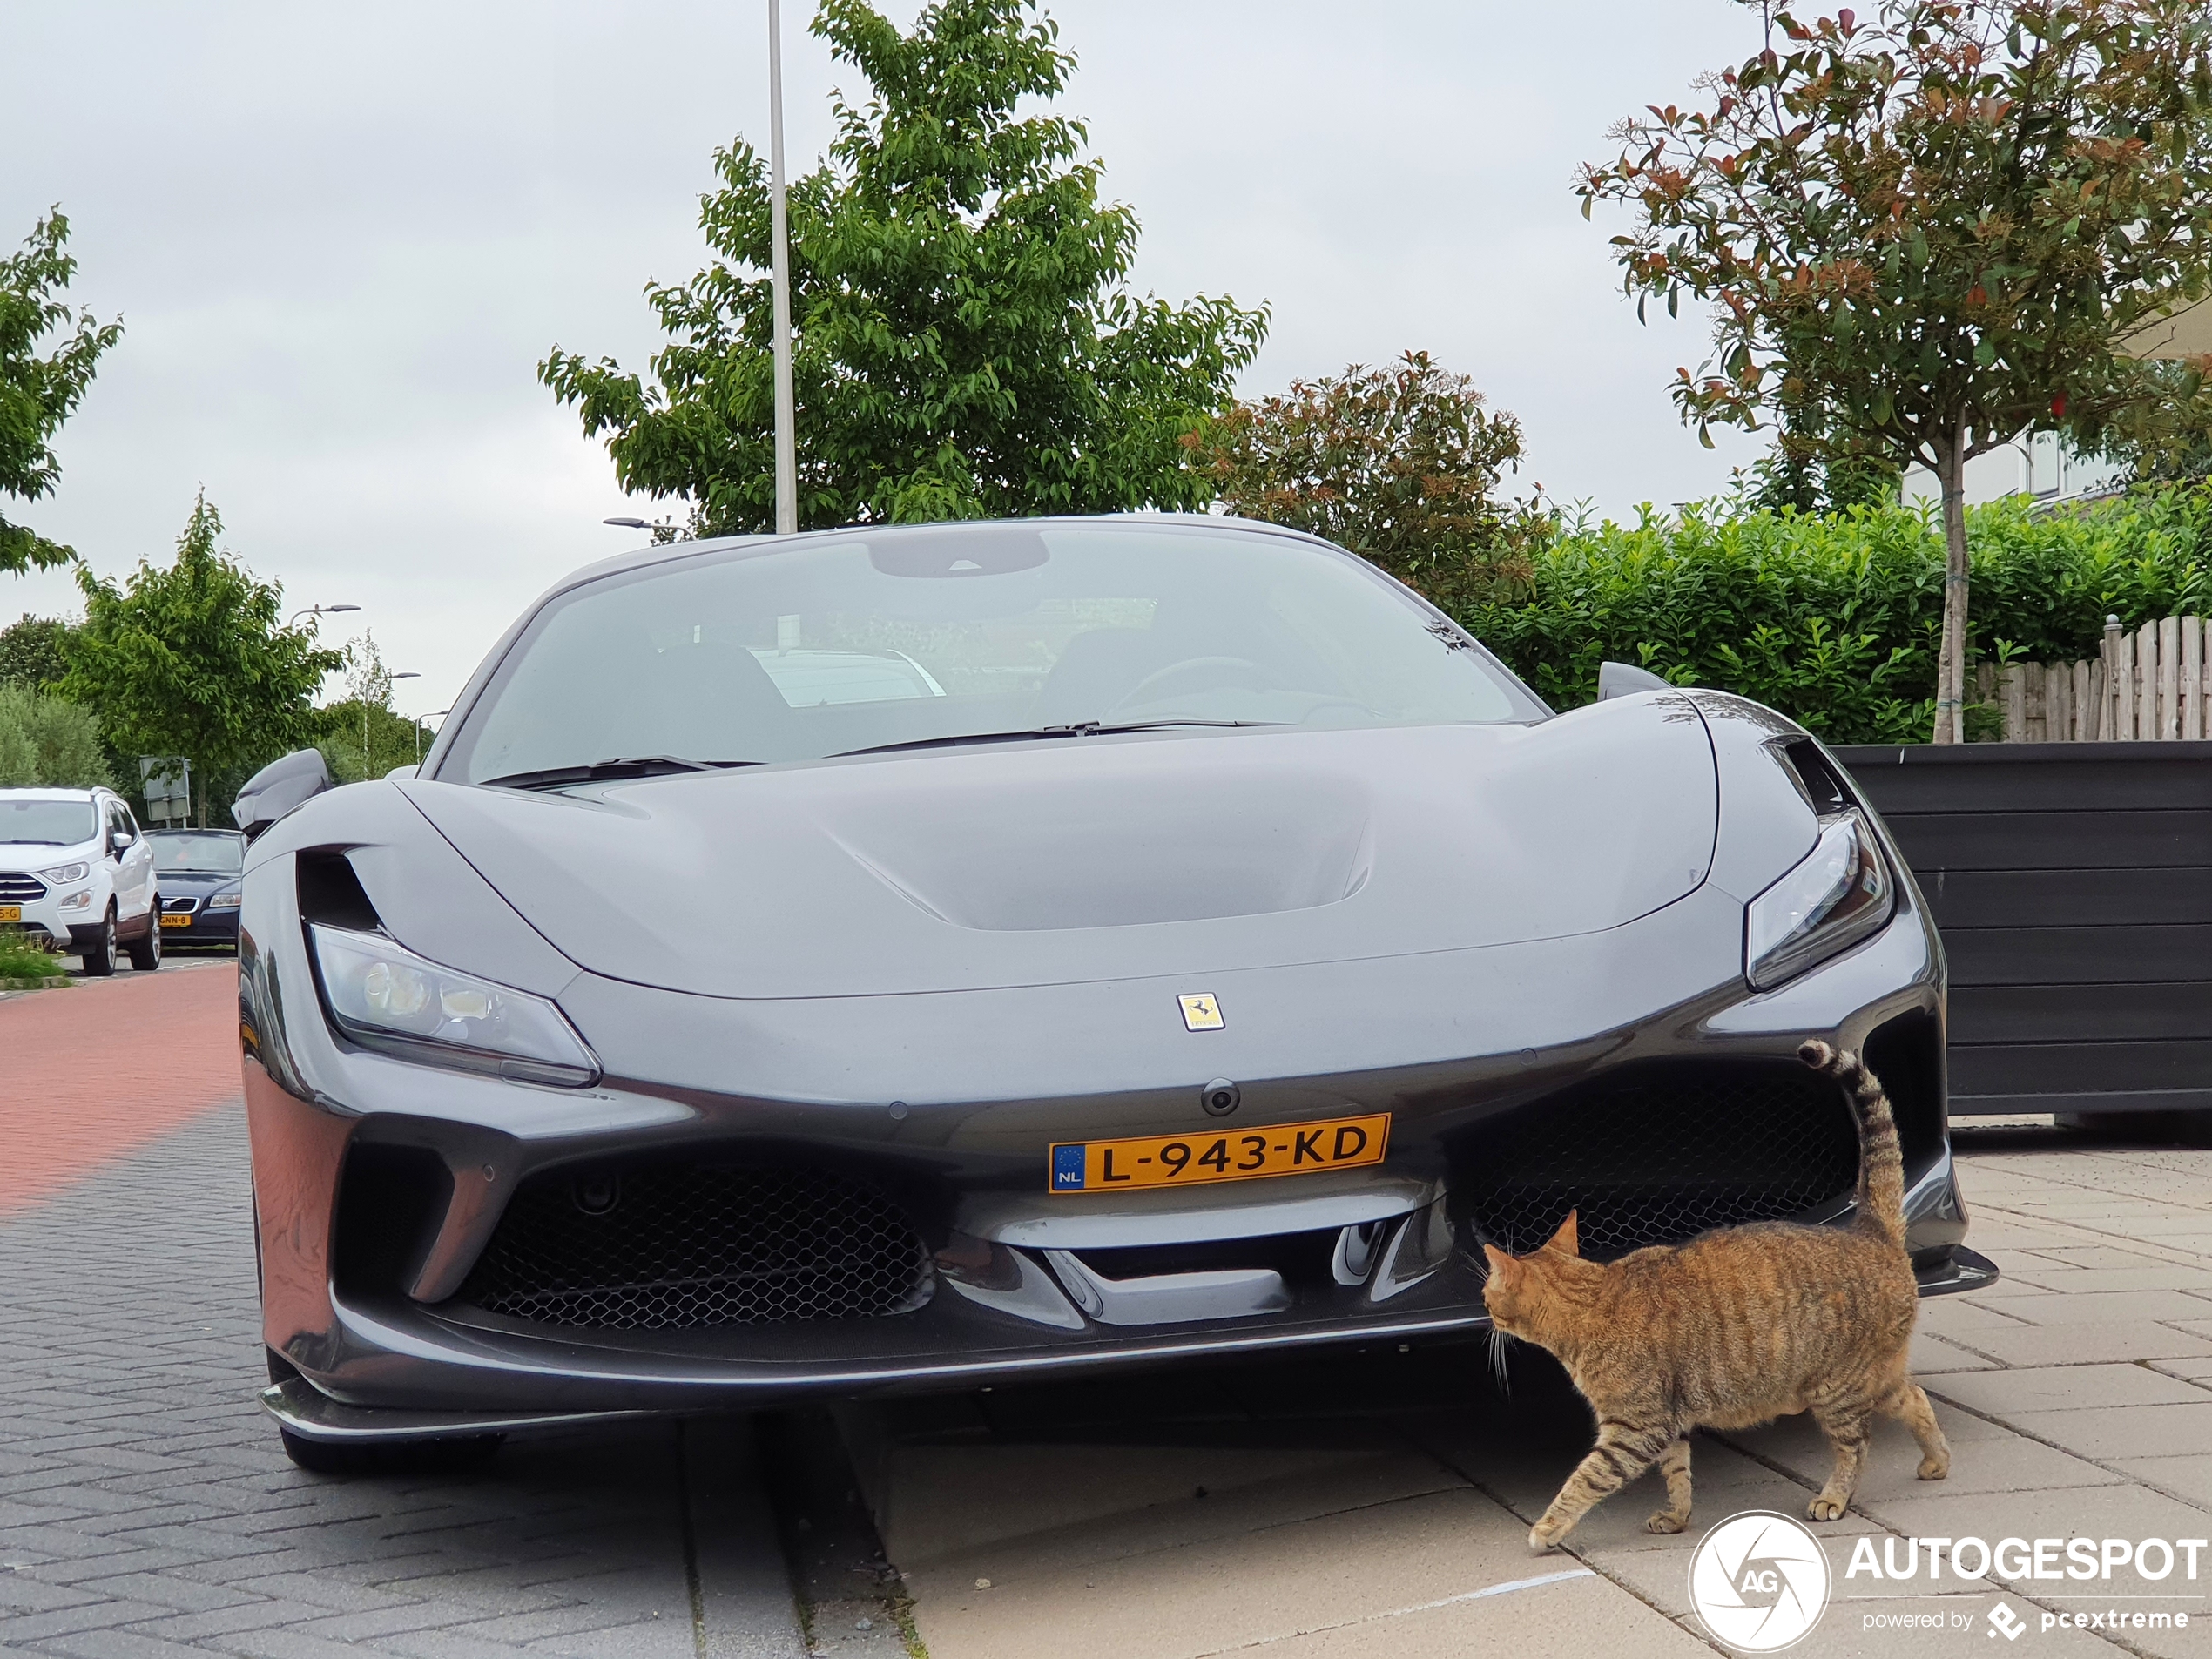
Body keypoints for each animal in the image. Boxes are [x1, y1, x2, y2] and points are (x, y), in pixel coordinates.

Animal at [1486, 1043, 1955, 1557]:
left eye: (1488, 1295)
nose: (1485, 1310)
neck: (1591, 1297)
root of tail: (1870, 1232)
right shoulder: (1666, 1424)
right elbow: (1677, 1473)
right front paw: (1677, 1517)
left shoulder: (1634, 1429)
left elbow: (1584, 1481)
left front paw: (1546, 1529)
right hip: (1871, 1378)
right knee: (1915, 1398)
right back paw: (1936, 1461)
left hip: (1838, 1389)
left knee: (1856, 1447)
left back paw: (1834, 1497)